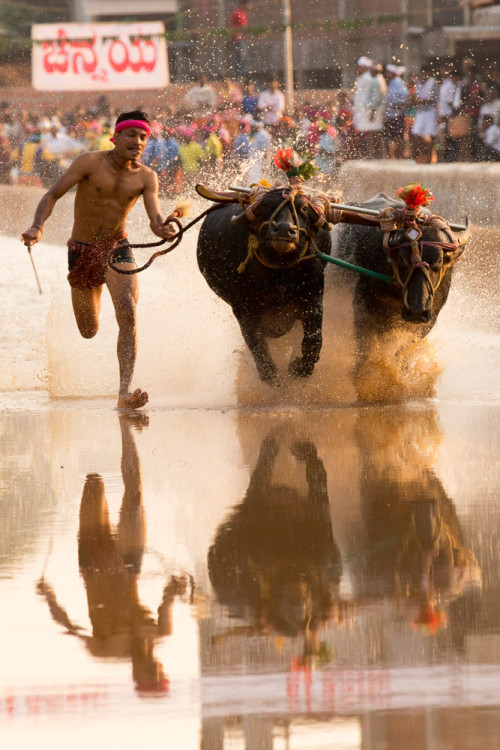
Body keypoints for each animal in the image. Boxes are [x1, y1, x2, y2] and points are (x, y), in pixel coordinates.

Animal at [196, 188, 332, 388]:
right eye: (266, 205)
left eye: (304, 208)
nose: (284, 230)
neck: (279, 276)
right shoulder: (244, 310)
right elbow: (255, 343)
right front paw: (270, 374)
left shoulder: (313, 299)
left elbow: (314, 339)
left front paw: (299, 368)